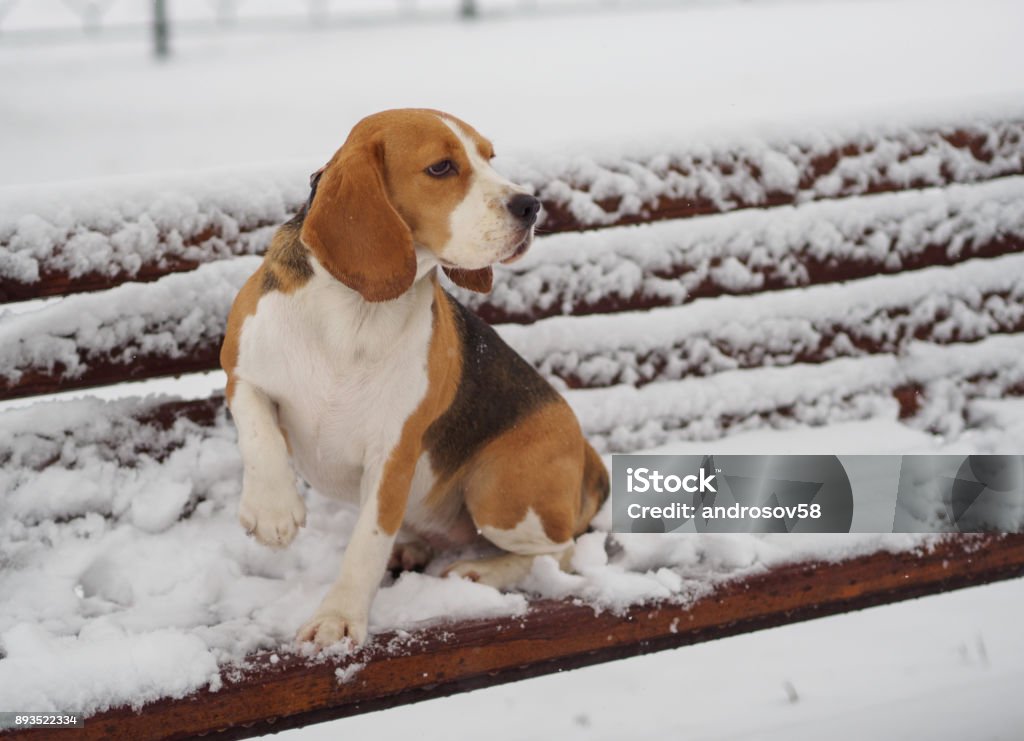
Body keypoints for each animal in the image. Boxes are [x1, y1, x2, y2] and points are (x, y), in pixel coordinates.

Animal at [220, 106, 606, 646]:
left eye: (489, 156)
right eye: (441, 167)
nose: (531, 205)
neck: (356, 308)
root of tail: (589, 459)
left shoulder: (393, 455)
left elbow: (365, 545)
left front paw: (338, 617)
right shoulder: (239, 368)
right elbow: (258, 429)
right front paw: (273, 510)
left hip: (496, 490)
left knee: (560, 550)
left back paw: (482, 571)